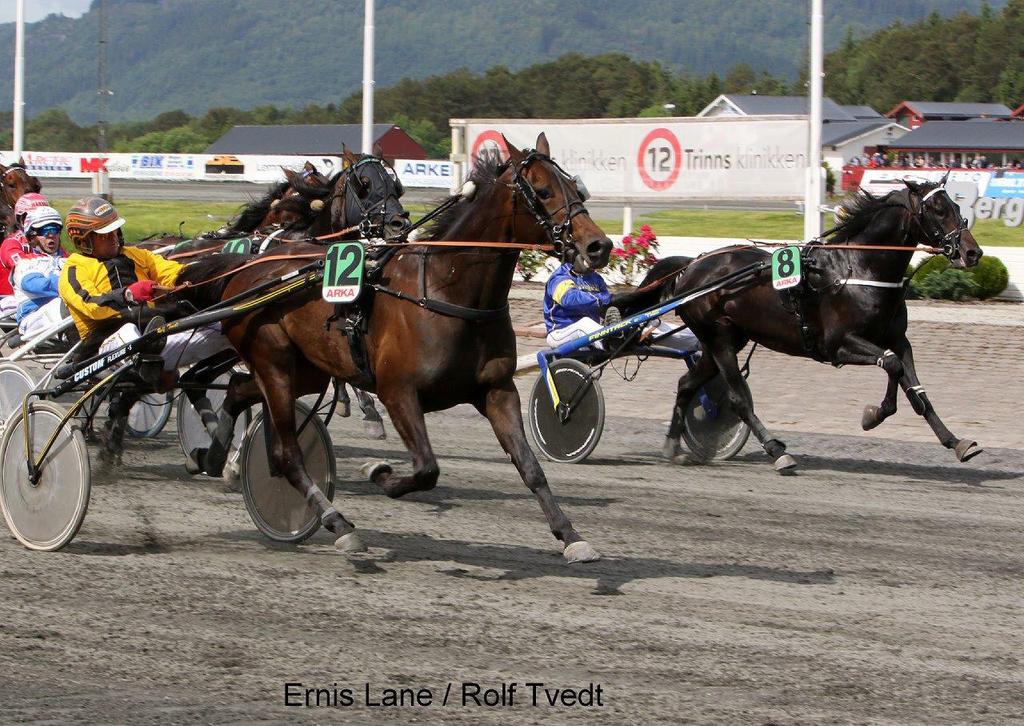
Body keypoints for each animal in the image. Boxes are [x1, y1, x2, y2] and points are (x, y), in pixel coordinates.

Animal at [177, 133, 610, 565]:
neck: (446, 290)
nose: (598, 246)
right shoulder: (398, 391)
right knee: (286, 454)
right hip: (275, 363)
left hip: (304, 370)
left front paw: (570, 534)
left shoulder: (497, 390)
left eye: (577, 188)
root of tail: (243, 270)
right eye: (543, 191)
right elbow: (426, 469)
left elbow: (529, 465)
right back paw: (337, 523)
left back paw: (214, 458)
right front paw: (378, 473)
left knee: (237, 390)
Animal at [663, 175, 983, 471]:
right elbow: (892, 364)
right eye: (938, 210)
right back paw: (776, 451)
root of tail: (691, 266)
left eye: (957, 206)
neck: (858, 270)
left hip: (724, 339)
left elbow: (913, 385)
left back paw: (673, 447)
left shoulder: (896, 339)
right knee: (737, 399)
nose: (973, 252)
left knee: (686, 384)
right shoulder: (838, 345)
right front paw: (874, 415)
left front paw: (955, 441)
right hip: (719, 339)